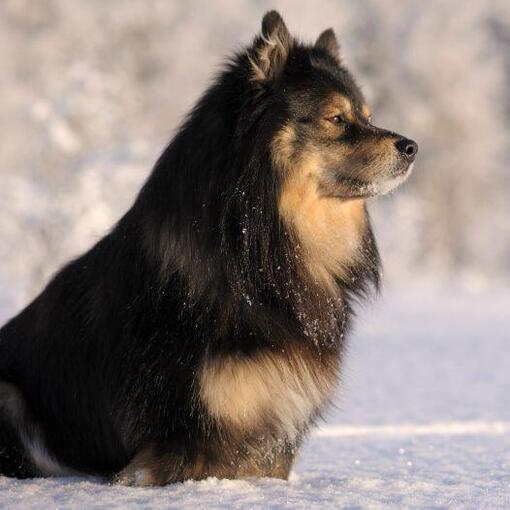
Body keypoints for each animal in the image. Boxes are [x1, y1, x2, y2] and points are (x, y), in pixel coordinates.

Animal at [0, 9, 416, 484]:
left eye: (367, 115)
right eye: (337, 119)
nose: (411, 147)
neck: (256, 259)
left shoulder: (272, 440)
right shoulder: (181, 442)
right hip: (9, 398)